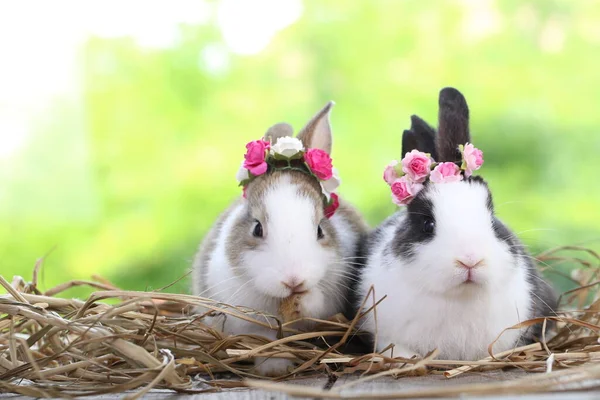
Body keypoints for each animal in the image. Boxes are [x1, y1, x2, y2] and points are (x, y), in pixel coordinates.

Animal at [195, 101, 368, 376]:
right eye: (257, 229)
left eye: (320, 230)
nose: (293, 281)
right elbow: (263, 341)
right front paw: (274, 368)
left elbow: (319, 306)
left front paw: (303, 302)